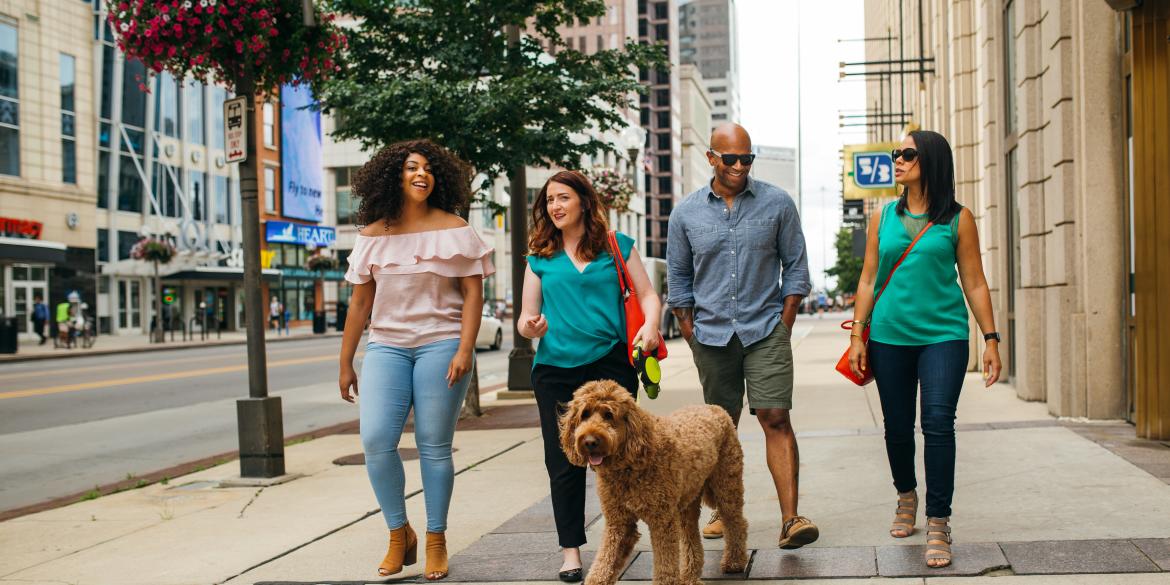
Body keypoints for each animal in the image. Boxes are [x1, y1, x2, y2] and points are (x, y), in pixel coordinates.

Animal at [559, 379, 748, 585]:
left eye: (608, 415)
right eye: (584, 414)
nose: (590, 441)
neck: (627, 466)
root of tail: (716, 408)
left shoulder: (661, 521)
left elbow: (665, 565)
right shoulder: (619, 522)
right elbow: (604, 562)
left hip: (726, 485)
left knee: (736, 522)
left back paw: (734, 562)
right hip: (686, 501)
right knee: (690, 535)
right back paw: (689, 575)